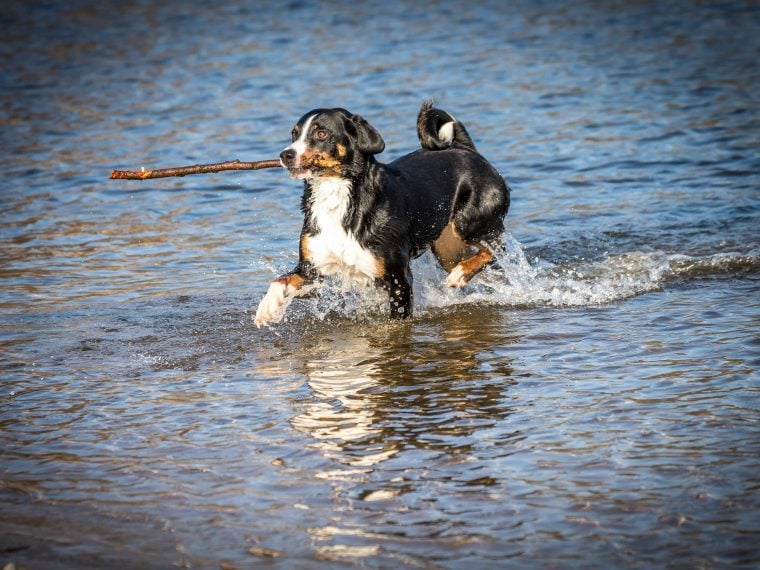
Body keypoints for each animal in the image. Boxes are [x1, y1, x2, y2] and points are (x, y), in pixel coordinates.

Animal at [255, 100, 510, 326]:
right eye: (294, 134)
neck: (336, 196)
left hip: (471, 224)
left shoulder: (398, 278)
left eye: (321, 133)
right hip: (448, 249)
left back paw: (461, 274)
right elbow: (279, 281)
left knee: (495, 250)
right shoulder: (313, 270)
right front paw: (267, 308)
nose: (286, 154)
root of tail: (464, 148)